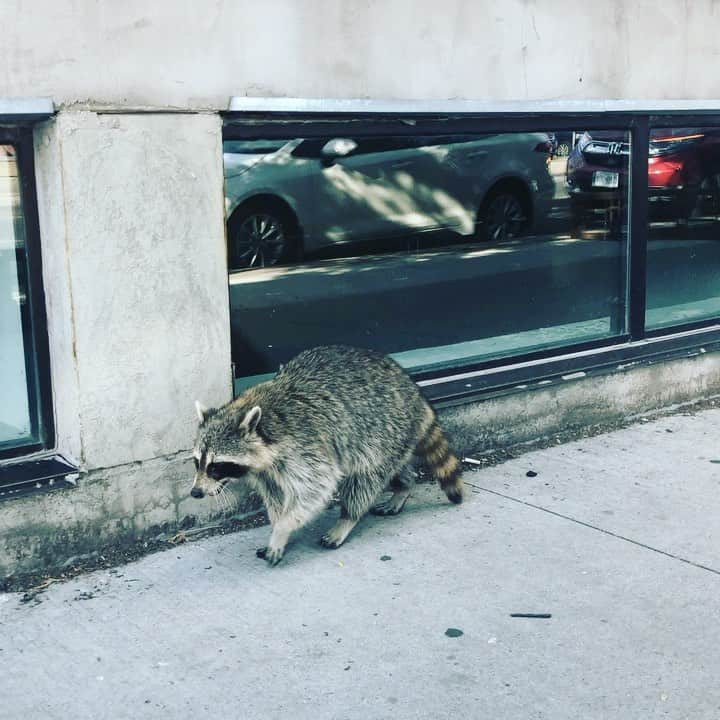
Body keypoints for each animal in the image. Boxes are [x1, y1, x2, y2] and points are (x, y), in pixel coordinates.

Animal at [191, 346, 462, 564]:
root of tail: (412, 389)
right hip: (392, 436)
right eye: (197, 462)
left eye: (216, 466)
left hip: (381, 430)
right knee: (394, 468)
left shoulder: (305, 447)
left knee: (365, 476)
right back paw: (405, 486)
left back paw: (347, 518)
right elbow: (276, 496)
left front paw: (282, 529)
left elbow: (315, 488)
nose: (195, 492)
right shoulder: (267, 470)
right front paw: (279, 527)